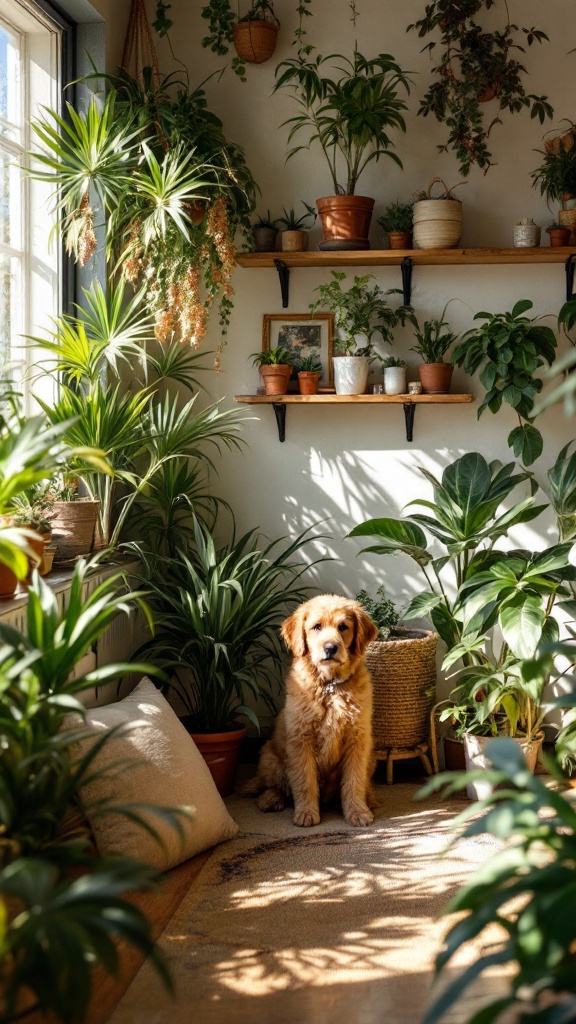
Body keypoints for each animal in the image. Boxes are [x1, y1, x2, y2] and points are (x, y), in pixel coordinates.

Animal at [245, 598, 377, 827]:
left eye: (343, 627)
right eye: (316, 627)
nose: (330, 648)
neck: (329, 686)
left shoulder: (358, 739)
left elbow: (354, 780)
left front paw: (357, 812)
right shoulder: (301, 739)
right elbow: (304, 781)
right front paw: (307, 813)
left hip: (372, 757)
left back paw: (367, 799)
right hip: (270, 760)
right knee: (277, 786)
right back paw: (270, 799)